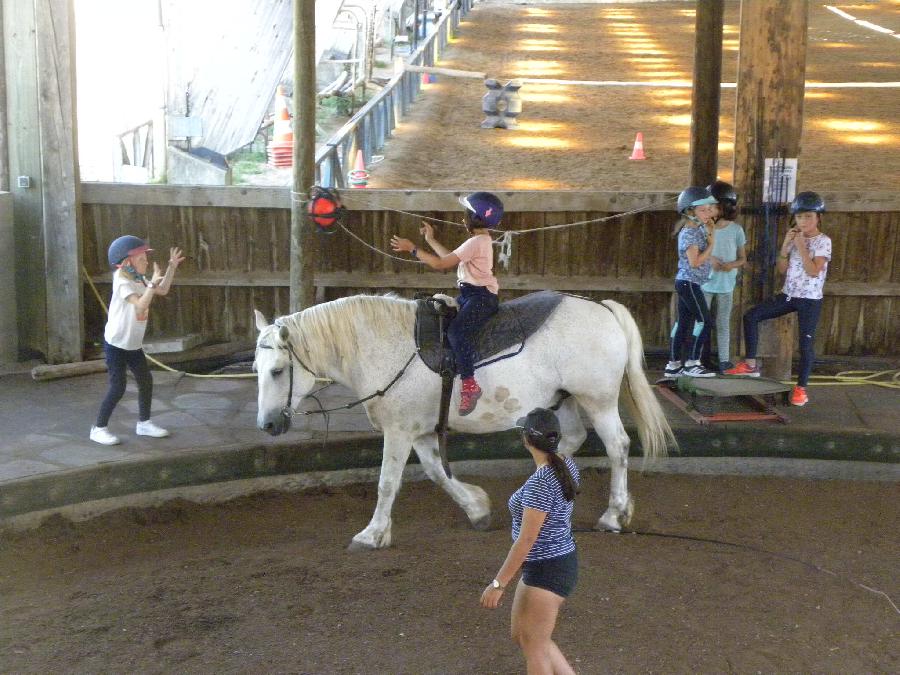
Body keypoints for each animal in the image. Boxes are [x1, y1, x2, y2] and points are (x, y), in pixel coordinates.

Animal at [255, 294, 676, 548]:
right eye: (257, 368)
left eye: (277, 371)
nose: (268, 425)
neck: (386, 347)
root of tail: (603, 308)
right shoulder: (419, 431)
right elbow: (438, 472)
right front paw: (477, 508)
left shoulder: (399, 431)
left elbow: (387, 483)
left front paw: (372, 534)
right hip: (561, 401)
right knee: (571, 439)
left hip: (597, 401)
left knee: (618, 447)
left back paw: (614, 514)